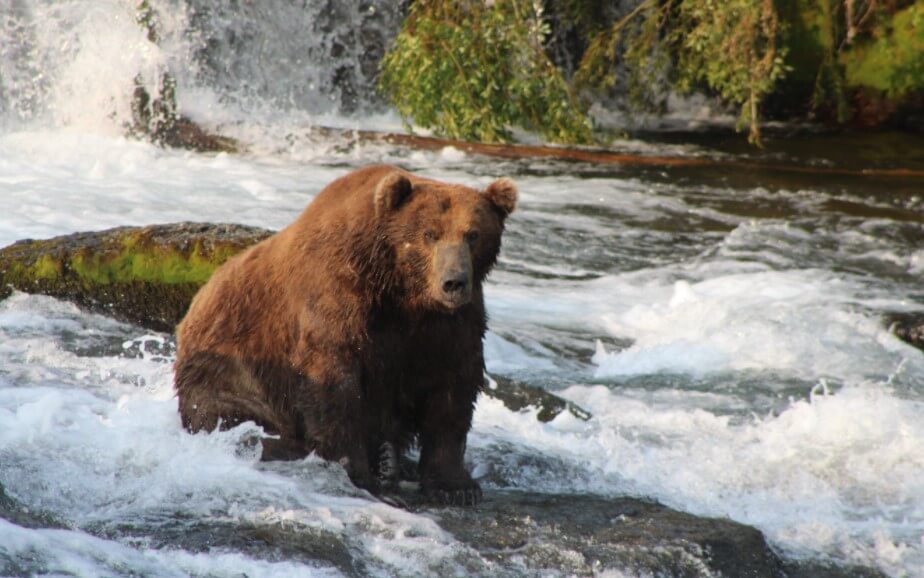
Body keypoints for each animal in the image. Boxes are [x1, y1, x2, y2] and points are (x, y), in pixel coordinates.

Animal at [175, 163, 512, 504]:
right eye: (429, 234)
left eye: (473, 234)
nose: (453, 282)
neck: (403, 289)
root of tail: (191, 309)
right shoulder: (339, 297)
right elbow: (336, 385)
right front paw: (360, 474)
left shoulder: (449, 324)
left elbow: (453, 389)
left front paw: (455, 486)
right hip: (231, 368)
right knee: (237, 422)